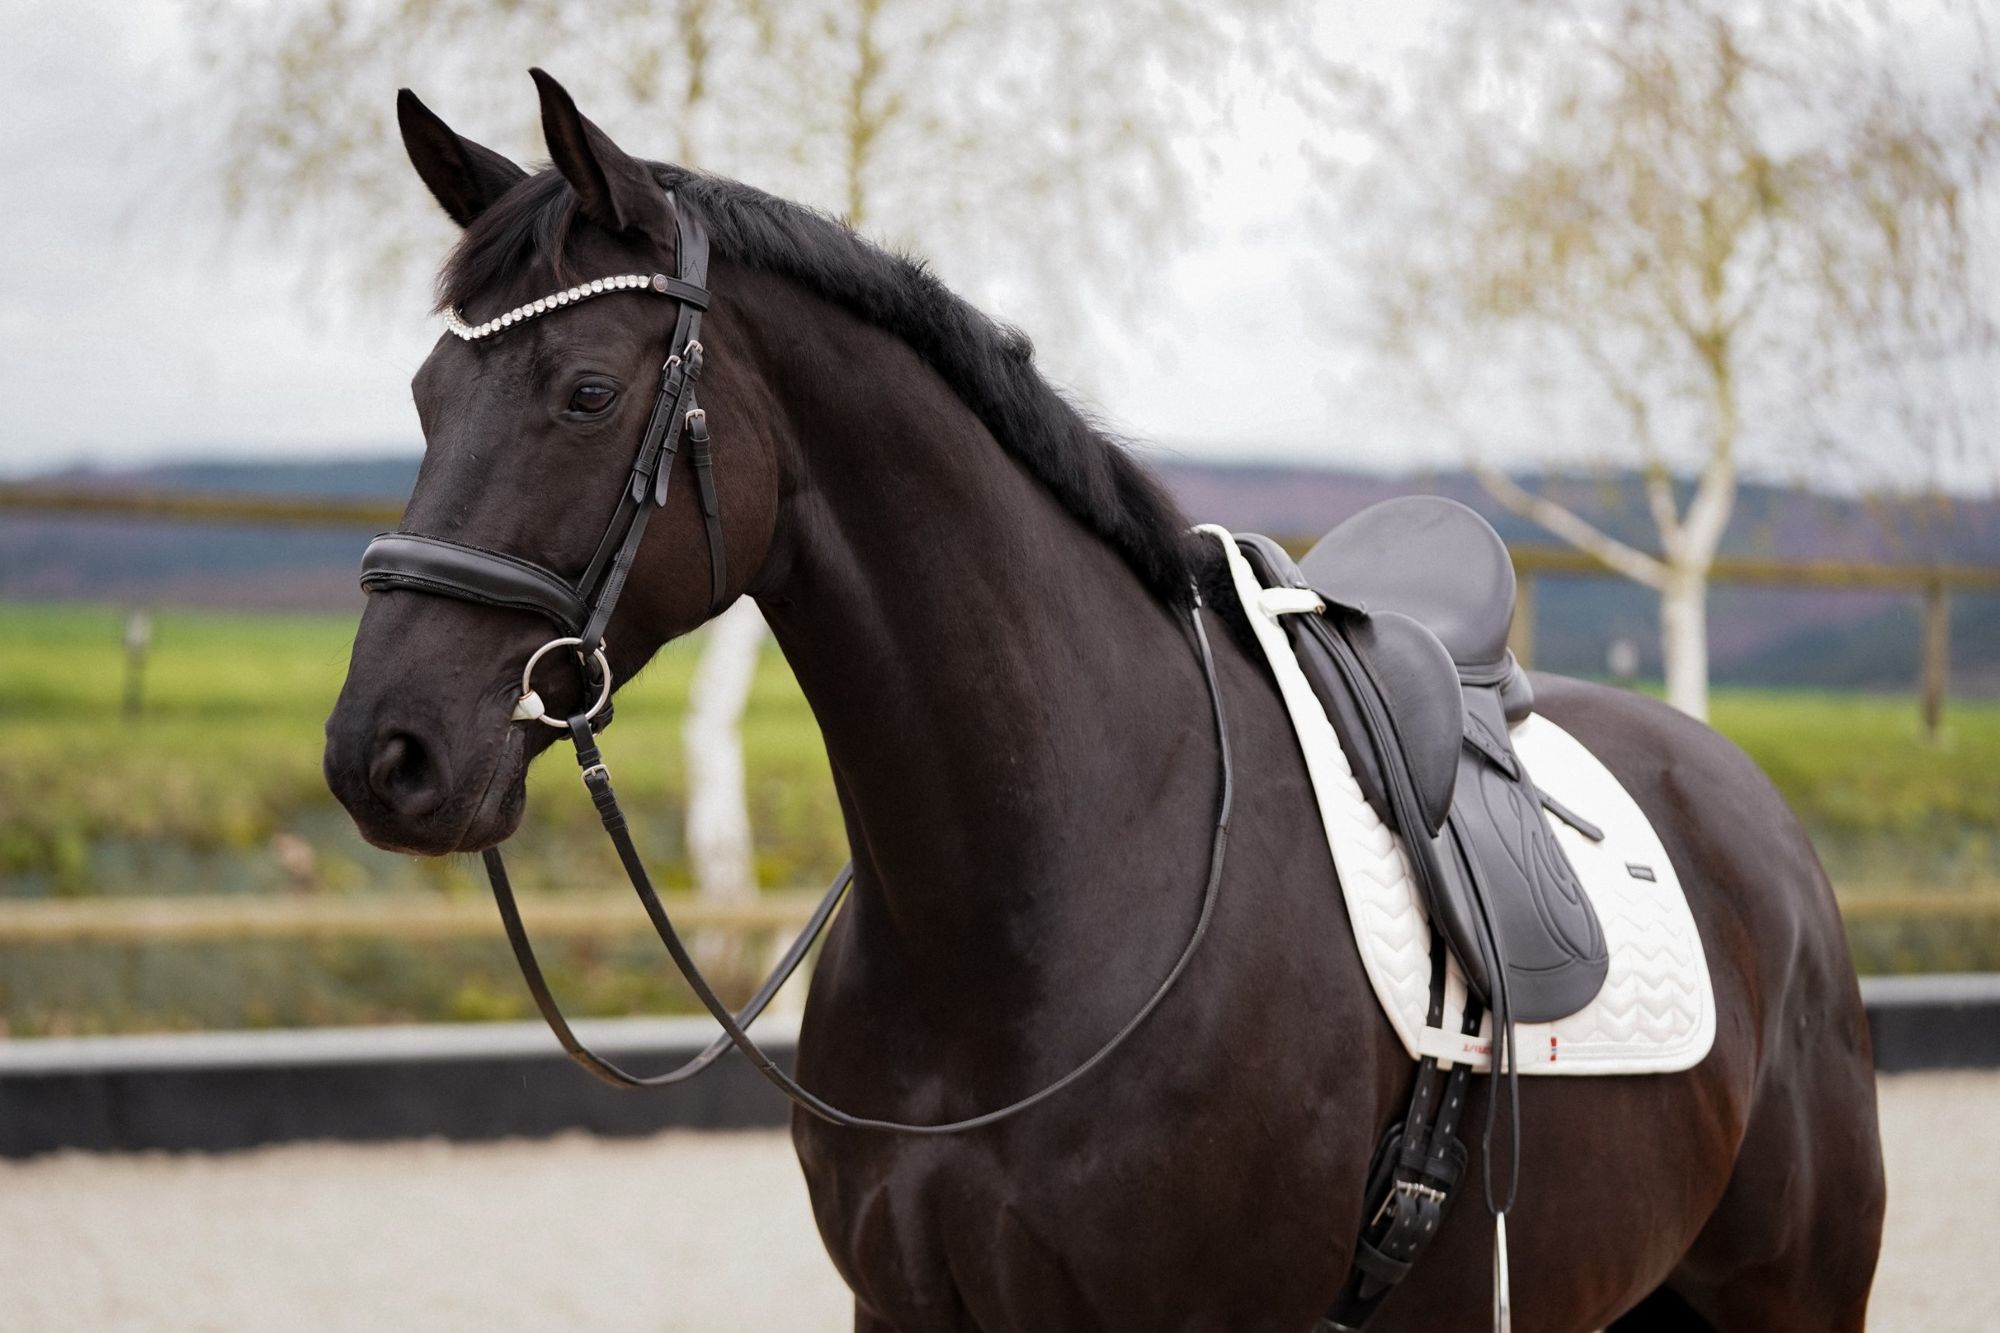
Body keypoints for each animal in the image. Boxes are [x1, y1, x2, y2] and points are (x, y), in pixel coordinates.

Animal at [322, 72, 1885, 1331]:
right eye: (422, 397)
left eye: (587, 391)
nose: (380, 755)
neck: (1033, 908)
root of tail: (1747, 809)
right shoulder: (903, 1308)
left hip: (1791, 1296)